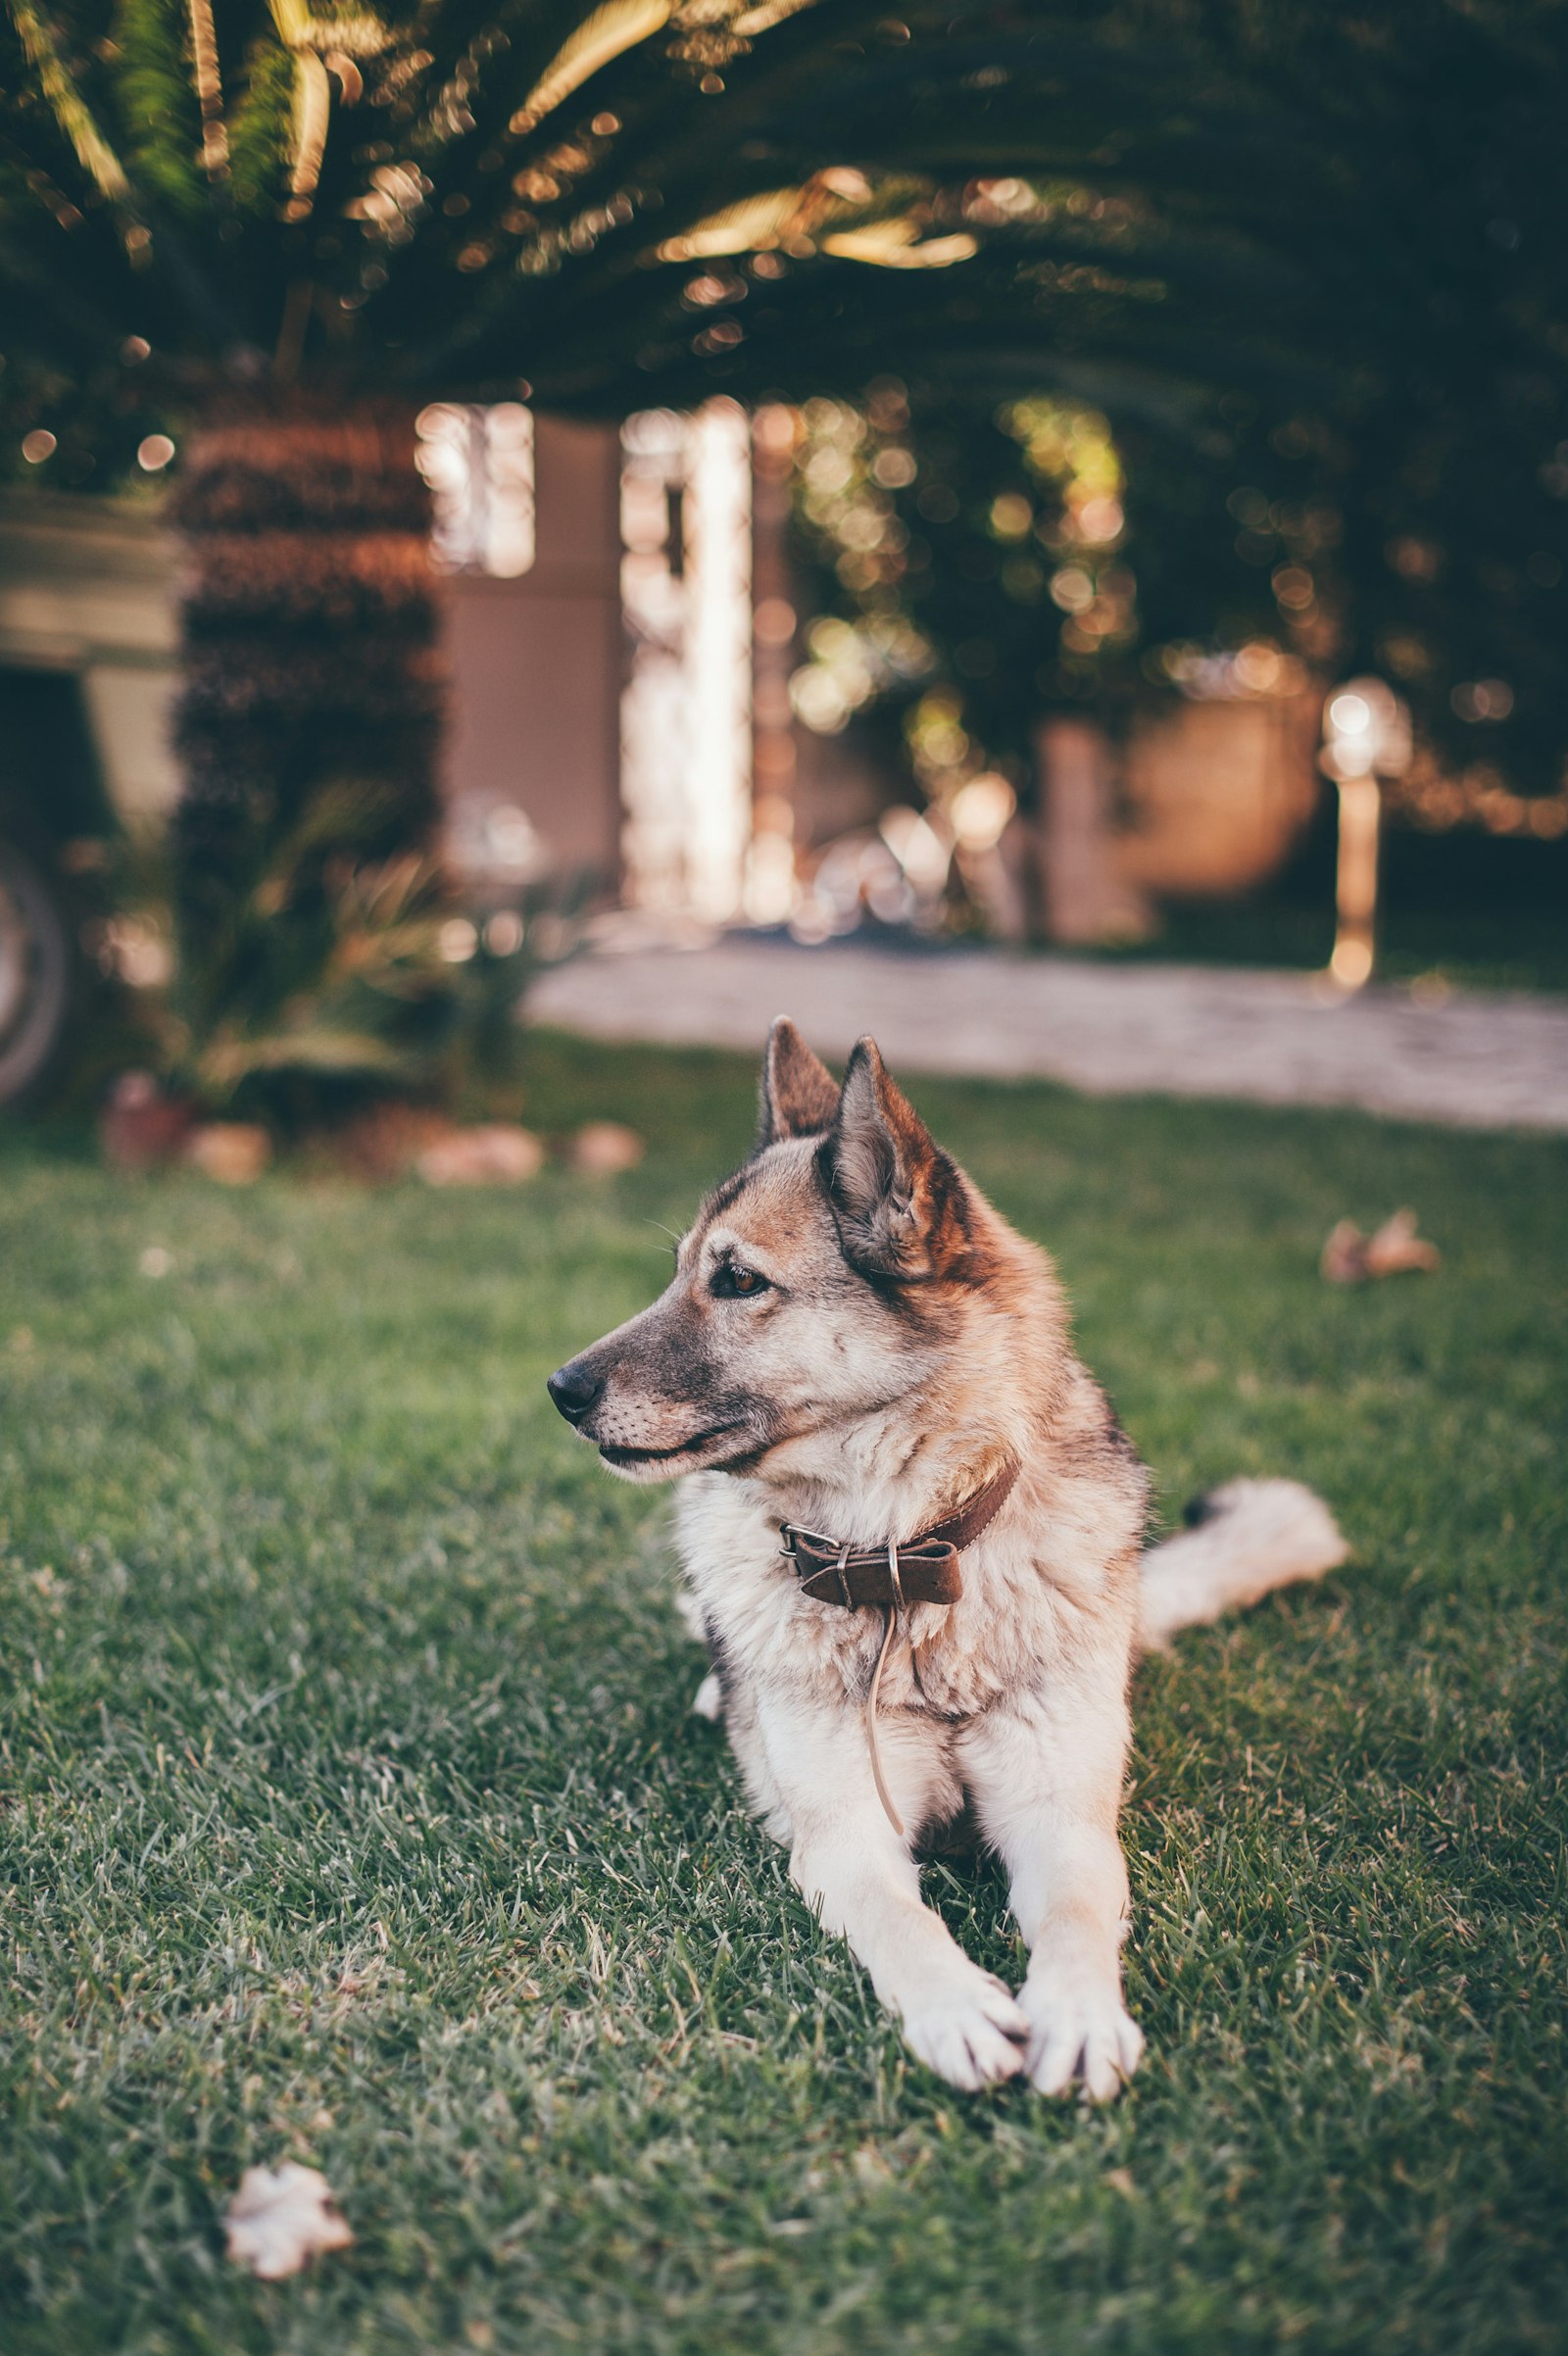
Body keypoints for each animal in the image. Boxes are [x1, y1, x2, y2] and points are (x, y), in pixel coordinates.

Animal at [548, 1022, 1347, 2091]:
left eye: (738, 1280)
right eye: (680, 1273)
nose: (559, 1388)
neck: (906, 1565)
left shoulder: (1063, 1817)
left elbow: (1078, 1912)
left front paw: (1079, 2014)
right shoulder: (847, 1838)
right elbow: (904, 1922)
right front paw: (957, 2007)